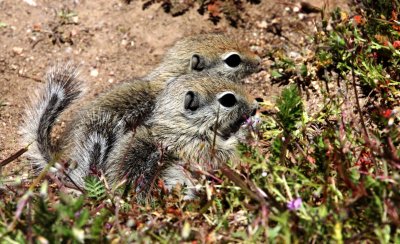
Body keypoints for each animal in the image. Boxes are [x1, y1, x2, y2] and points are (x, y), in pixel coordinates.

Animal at [21, 63, 258, 198]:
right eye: (228, 100)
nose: (255, 105)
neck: (179, 124)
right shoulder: (193, 145)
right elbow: (222, 155)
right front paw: (245, 130)